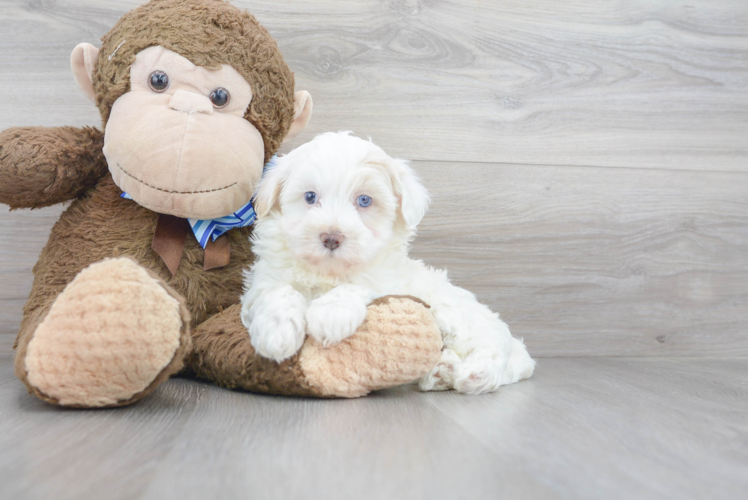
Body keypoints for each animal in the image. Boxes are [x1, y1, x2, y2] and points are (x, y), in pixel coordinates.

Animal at [243, 133, 536, 394]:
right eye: (310, 197)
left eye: (364, 200)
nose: (331, 237)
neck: (328, 273)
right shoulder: (263, 280)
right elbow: (277, 290)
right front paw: (276, 331)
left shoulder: (385, 281)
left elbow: (356, 286)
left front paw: (330, 314)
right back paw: (442, 371)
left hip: (455, 314)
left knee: (490, 348)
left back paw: (475, 373)